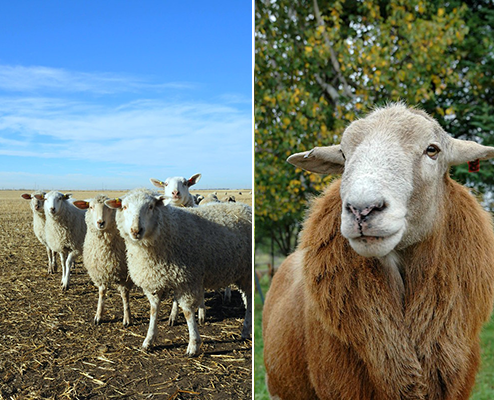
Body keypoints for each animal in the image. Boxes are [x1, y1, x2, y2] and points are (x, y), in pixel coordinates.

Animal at [71, 195, 133, 326]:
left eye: (109, 208)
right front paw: (98, 316)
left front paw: (127, 318)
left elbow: (124, 295)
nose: (100, 222)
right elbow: (102, 293)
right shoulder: (100, 272)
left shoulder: (124, 275)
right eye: (91, 207)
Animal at [105, 188, 251, 356]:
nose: (136, 230)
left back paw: (246, 329)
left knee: (250, 299)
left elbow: (187, 313)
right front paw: (148, 340)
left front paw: (193, 345)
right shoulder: (154, 281)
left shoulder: (187, 280)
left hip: (247, 272)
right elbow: (153, 310)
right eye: (124, 207)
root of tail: (245, 207)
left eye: (150, 206)